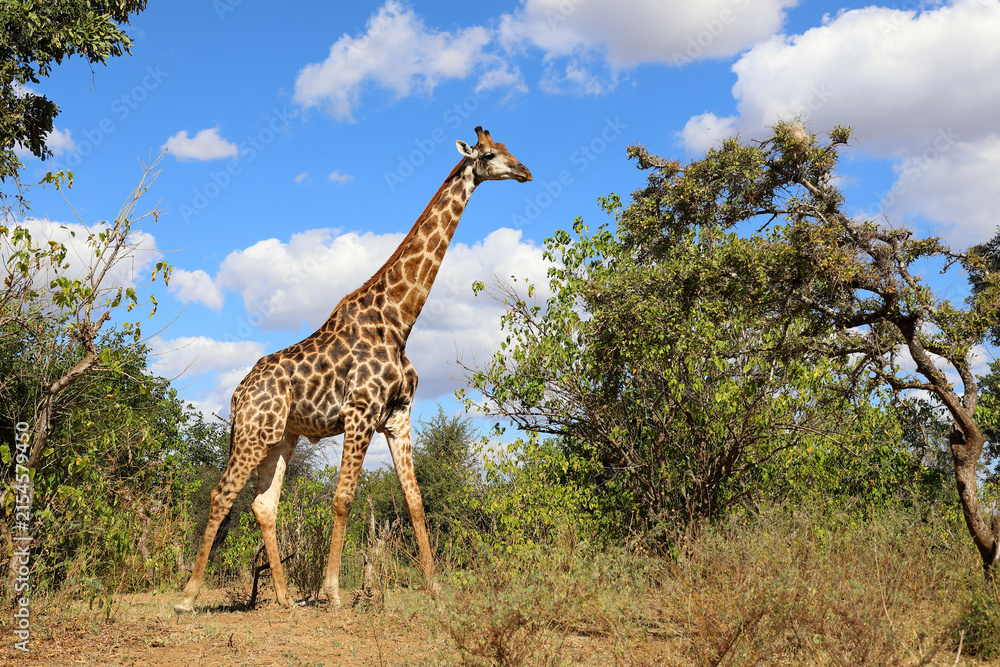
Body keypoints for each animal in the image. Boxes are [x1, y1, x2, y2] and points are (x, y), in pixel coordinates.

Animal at [174, 126, 531, 614]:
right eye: (491, 155)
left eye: (510, 149)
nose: (525, 171)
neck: (399, 319)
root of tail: (237, 393)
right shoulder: (359, 412)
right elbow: (343, 499)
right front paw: (332, 592)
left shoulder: (398, 415)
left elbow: (414, 500)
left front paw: (435, 586)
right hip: (253, 432)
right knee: (222, 493)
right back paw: (188, 596)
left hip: (280, 438)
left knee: (263, 504)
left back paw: (284, 599)